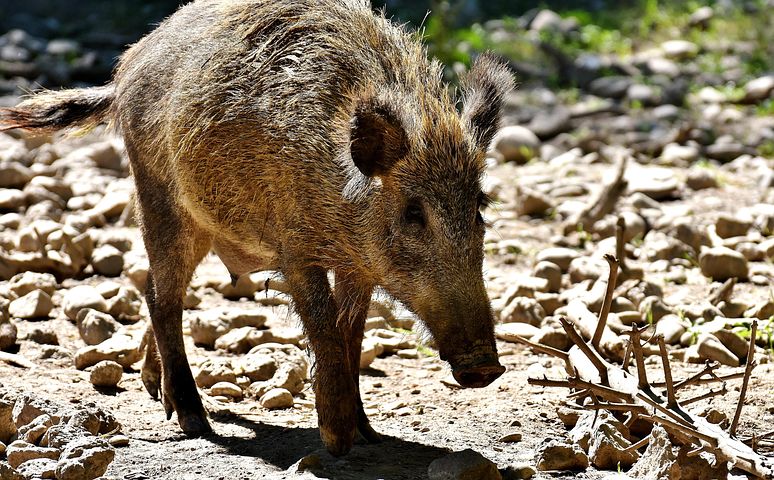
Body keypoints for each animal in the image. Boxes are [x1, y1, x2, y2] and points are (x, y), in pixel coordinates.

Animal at [1, 0, 513, 456]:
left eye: (479, 207)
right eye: (412, 212)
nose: (485, 366)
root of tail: (122, 74)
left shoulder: (361, 265)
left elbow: (351, 334)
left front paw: (370, 435)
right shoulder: (295, 247)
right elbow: (324, 330)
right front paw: (338, 443)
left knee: (152, 289)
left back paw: (154, 391)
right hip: (161, 200)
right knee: (162, 298)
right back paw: (194, 421)